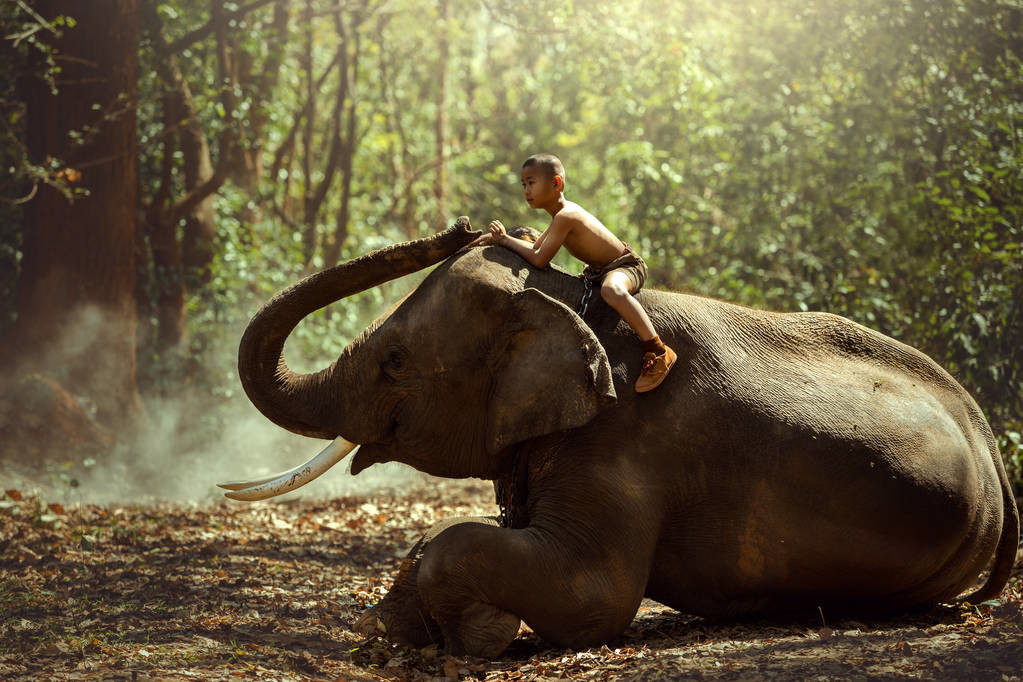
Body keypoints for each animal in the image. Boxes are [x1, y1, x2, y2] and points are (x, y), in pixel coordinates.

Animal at [219, 217, 1018, 654]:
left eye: (393, 360)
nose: (464, 225)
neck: (565, 299)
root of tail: (987, 437)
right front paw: (393, 631)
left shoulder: (622, 438)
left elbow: (592, 595)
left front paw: (478, 638)